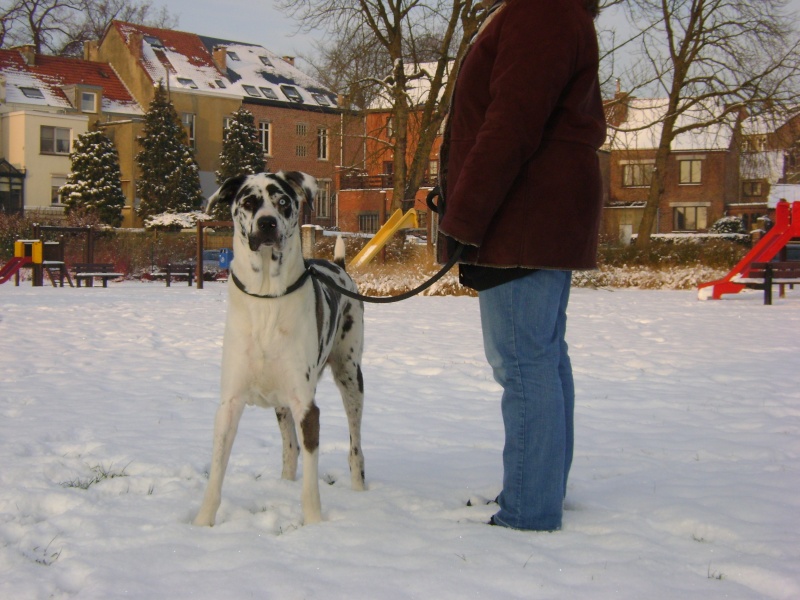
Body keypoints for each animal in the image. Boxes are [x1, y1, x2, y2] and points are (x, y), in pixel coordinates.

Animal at [194, 171, 366, 528]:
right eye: (248, 201)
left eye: (283, 201)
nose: (267, 223)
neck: (266, 298)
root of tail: (340, 267)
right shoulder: (229, 405)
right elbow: (216, 472)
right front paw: (202, 522)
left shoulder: (306, 407)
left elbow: (311, 483)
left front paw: (314, 524)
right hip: (283, 404)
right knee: (290, 449)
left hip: (350, 378)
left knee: (355, 447)